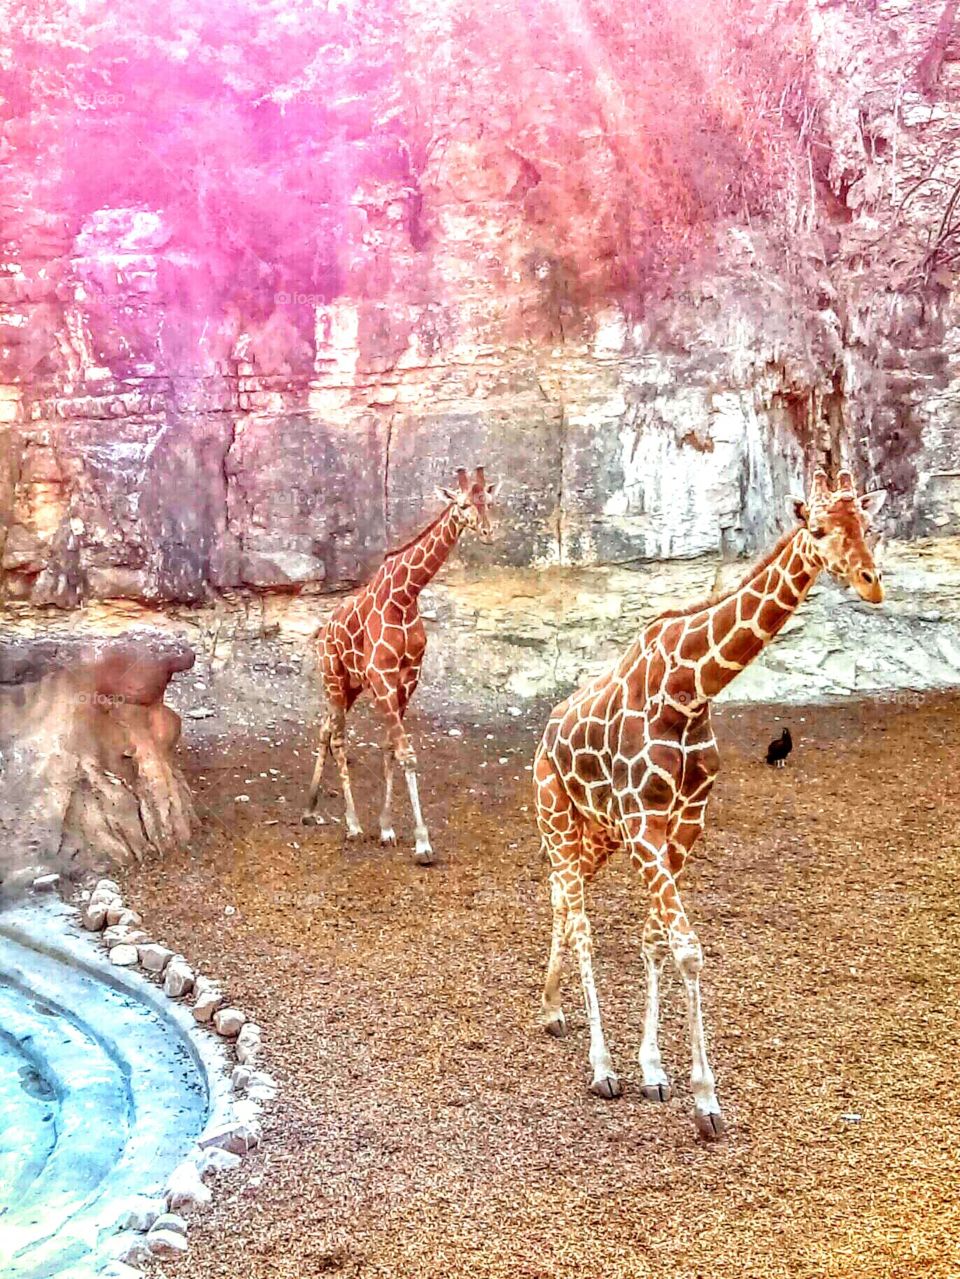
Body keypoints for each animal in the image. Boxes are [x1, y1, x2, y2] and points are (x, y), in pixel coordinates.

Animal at [302, 466, 500, 864]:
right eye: (463, 504)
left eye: (489, 501)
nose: (488, 532)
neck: (406, 597)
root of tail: (323, 630)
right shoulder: (382, 676)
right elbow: (406, 752)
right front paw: (422, 843)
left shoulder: (408, 679)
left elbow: (390, 748)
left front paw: (387, 828)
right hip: (333, 678)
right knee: (339, 737)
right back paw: (352, 824)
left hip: (350, 686)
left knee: (326, 729)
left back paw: (311, 808)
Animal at [534, 468, 887, 1139]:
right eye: (817, 528)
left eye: (867, 525)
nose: (870, 582)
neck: (689, 691)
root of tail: (545, 735)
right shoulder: (646, 823)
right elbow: (687, 950)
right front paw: (704, 1101)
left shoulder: (683, 824)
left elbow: (654, 940)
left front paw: (653, 1070)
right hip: (559, 817)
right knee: (580, 919)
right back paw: (598, 1065)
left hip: (599, 834)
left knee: (563, 900)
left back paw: (551, 1008)